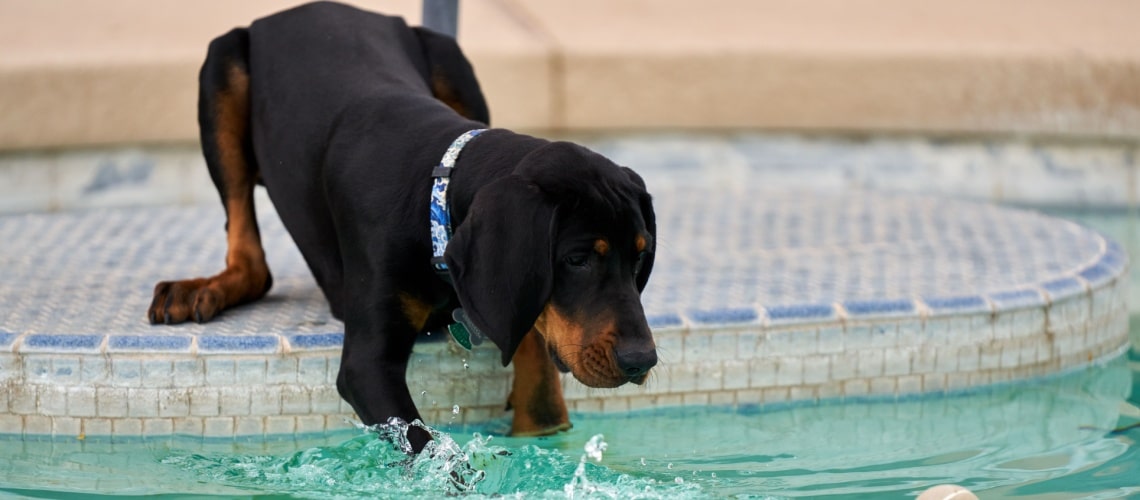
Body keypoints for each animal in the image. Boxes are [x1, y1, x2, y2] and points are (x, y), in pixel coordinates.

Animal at [149, 0, 661, 453]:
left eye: (640, 256)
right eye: (576, 259)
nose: (643, 360)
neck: (433, 198)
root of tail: (306, 8)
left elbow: (533, 353)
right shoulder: (368, 363)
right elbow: (429, 448)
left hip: (450, 57)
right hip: (221, 66)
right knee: (250, 256)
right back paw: (201, 288)